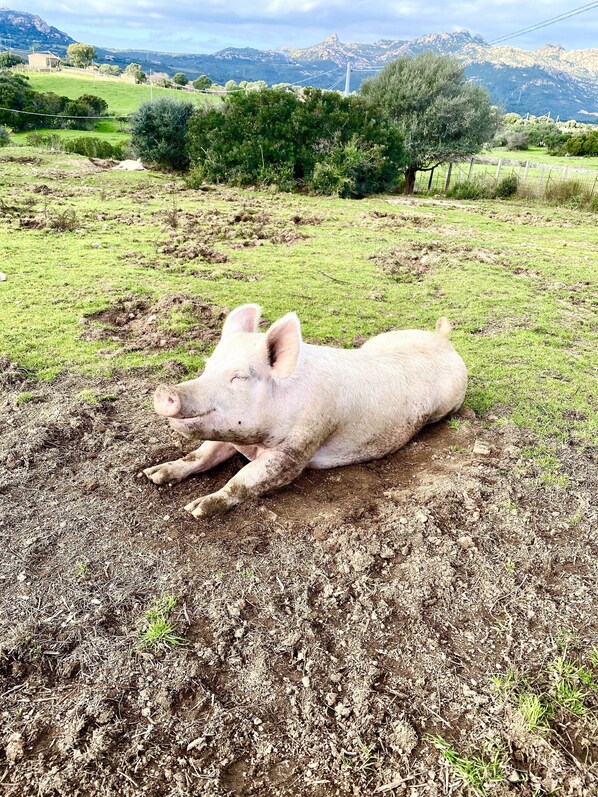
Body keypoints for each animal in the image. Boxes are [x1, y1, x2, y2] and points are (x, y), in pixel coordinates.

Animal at [144, 304, 467, 518]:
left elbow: (246, 477)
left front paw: (196, 509)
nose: (165, 391)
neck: (253, 442)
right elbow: (200, 455)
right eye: (208, 365)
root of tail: (443, 340)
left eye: (239, 377)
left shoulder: (298, 447)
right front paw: (153, 475)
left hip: (449, 404)